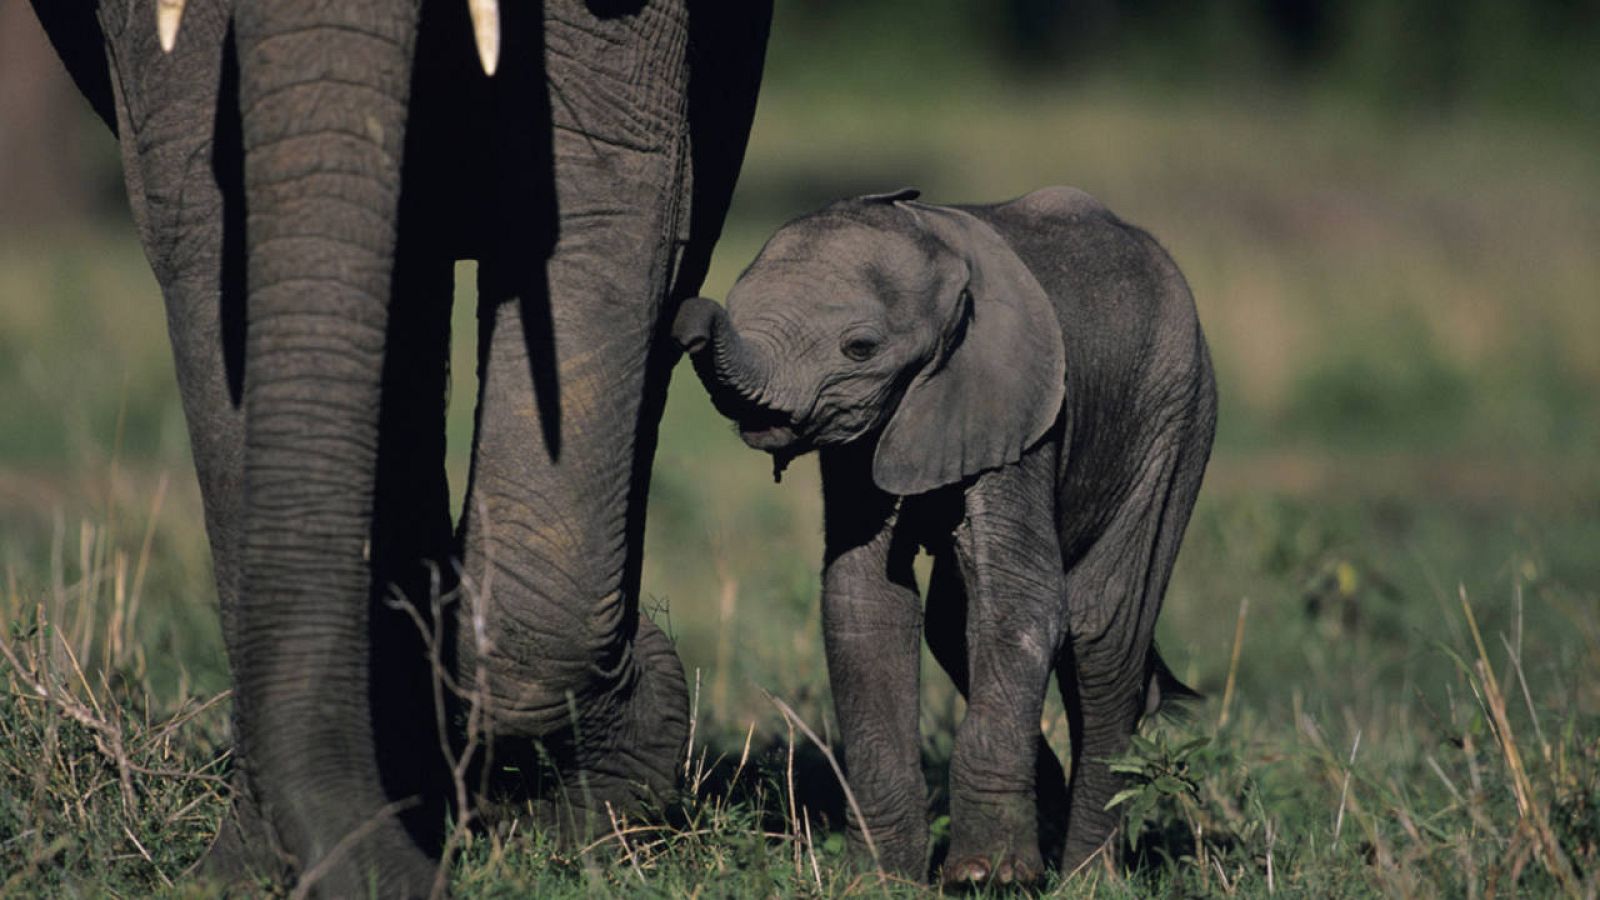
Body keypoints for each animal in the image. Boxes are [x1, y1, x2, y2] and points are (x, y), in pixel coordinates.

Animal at [672, 186, 1216, 884]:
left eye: (860, 348)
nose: (690, 310)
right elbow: (866, 603)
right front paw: (877, 879)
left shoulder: (1017, 405)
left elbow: (1021, 604)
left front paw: (989, 877)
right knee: (953, 628)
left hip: (1177, 419)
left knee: (1103, 636)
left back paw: (1087, 876)